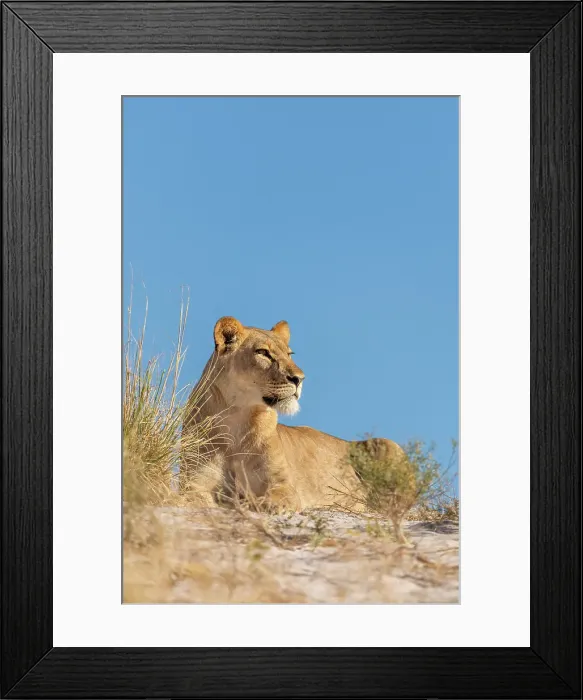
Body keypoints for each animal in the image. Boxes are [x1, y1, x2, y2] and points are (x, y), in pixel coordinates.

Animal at [181, 316, 403, 512]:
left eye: (290, 354)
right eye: (263, 352)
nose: (299, 379)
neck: (237, 416)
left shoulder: (284, 485)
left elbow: (268, 501)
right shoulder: (195, 483)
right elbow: (188, 499)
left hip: (386, 444)